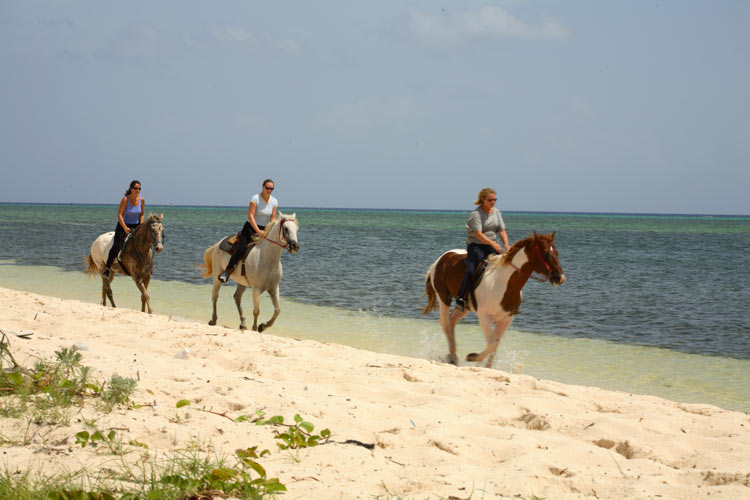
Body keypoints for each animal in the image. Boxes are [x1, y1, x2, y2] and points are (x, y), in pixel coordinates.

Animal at [426, 233, 568, 368]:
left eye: (556, 253)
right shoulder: (484, 318)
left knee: (451, 322)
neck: (502, 282)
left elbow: (495, 343)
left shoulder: (506, 319)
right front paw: (473, 357)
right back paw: (452, 357)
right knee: (445, 322)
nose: (560, 278)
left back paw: (453, 357)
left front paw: (485, 366)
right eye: (545, 254)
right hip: (444, 298)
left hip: (464, 308)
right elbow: (492, 343)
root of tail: (442, 258)